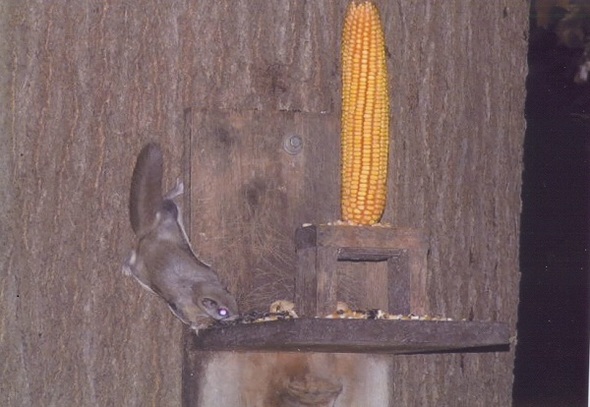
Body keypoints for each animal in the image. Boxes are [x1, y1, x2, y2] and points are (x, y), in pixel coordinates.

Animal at [123, 142, 239, 334]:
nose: (237, 316)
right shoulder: (180, 305)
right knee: (133, 260)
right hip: (142, 271)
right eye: (222, 311)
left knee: (167, 202)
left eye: (233, 297)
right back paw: (126, 266)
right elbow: (186, 318)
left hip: (173, 220)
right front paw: (197, 326)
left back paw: (178, 189)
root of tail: (150, 232)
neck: (197, 287)